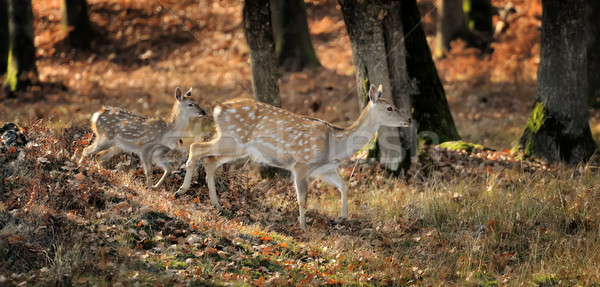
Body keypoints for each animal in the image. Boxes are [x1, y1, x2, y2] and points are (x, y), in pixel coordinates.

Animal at [175, 85, 412, 232]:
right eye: (390, 108)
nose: (409, 119)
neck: (335, 146)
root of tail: (217, 109)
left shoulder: (324, 169)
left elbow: (344, 186)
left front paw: (340, 217)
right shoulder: (301, 165)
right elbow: (303, 198)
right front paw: (303, 227)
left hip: (235, 146)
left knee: (209, 161)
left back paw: (217, 205)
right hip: (233, 139)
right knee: (196, 147)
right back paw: (181, 190)